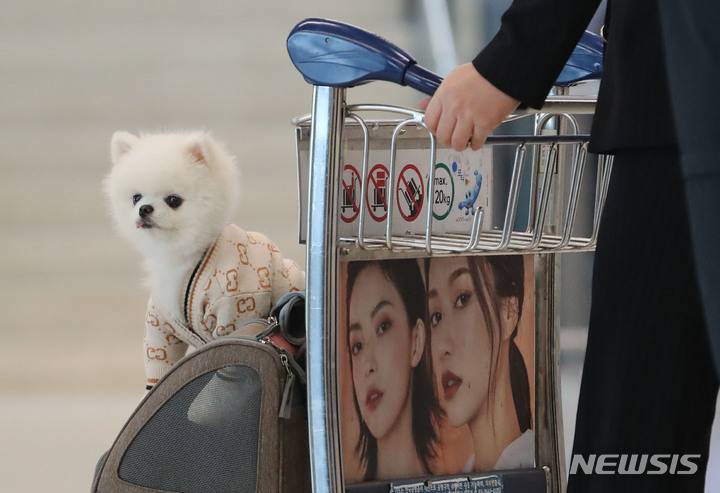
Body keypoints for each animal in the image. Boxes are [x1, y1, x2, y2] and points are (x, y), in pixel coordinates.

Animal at [104, 130, 304, 388]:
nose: (144, 208)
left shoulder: (235, 309)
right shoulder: (161, 324)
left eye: (173, 200)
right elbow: (159, 359)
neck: (186, 257)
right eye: (135, 198)